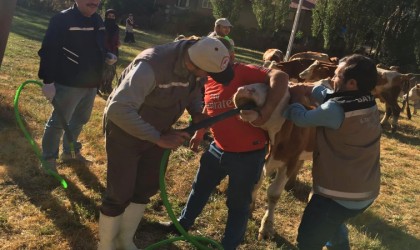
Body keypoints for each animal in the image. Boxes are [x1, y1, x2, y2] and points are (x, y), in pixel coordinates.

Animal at [231, 82, 316, 240]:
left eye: (272, 88)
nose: (244, 89)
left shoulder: (290, 160)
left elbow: (274, 193)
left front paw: (266, 227)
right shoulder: (262, 157)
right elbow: (255, 183)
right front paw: (249, 208)